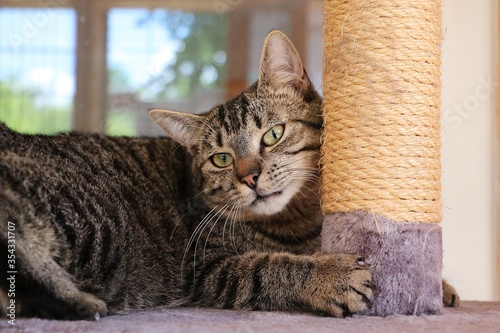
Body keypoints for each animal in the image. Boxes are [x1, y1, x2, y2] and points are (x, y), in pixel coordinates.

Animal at [0, 30, 454, 320]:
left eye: (272, 134)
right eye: (220, 159)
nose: (250, 176)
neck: (300, 220)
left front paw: (439, 286)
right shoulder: (207, 268)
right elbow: (268, 267)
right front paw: (329, 275)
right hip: (93, 216)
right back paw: (81, 303)